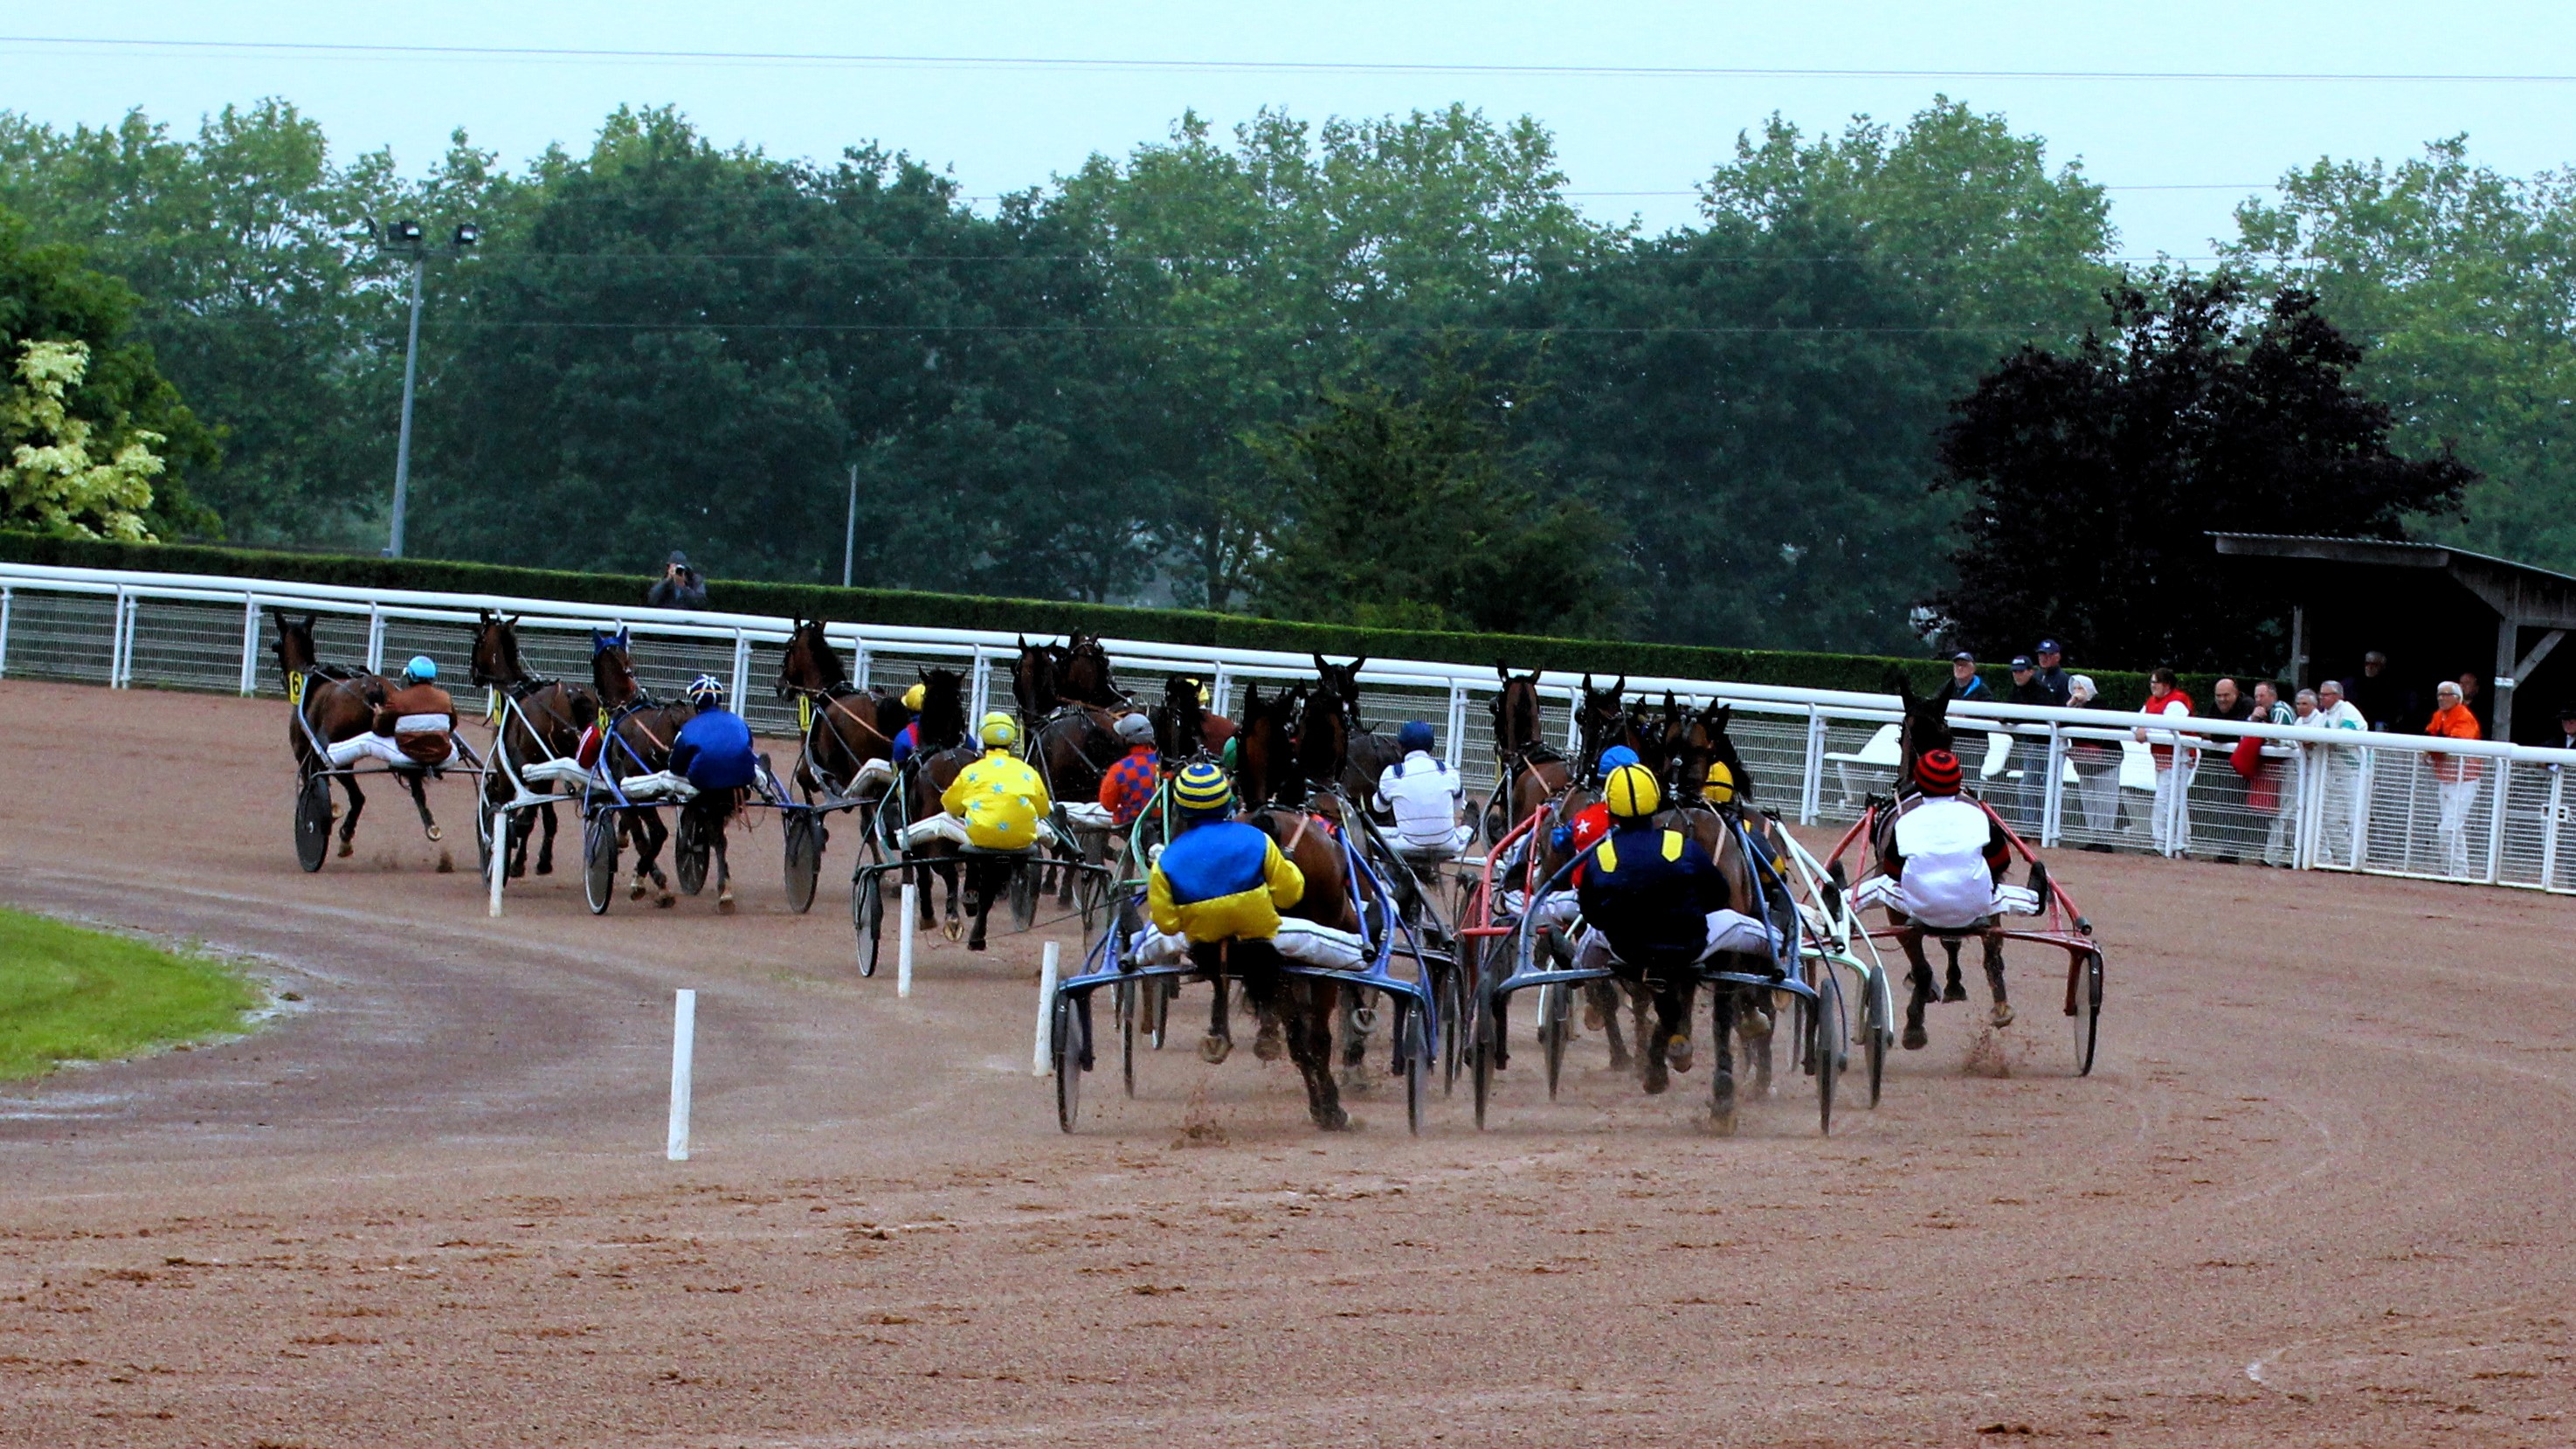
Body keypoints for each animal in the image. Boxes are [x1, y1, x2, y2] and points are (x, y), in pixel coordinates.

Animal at [273, 615, 448, 859]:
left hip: (336, 755)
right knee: (414, 786)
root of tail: (374, 688)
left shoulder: (304, 754)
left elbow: (313, 785)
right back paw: (430, 825)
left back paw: (346, 835)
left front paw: (327, 814)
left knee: (358, 797)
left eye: (277, 643)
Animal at [468, 610, 592, 880]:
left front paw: (514, 860)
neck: (514, 690)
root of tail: (572, 695)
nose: (474, 675)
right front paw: (542, 860)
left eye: (478, 639)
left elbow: (519, 813)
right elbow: (547, 818)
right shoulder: (545, 775)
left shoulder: (509, 773)